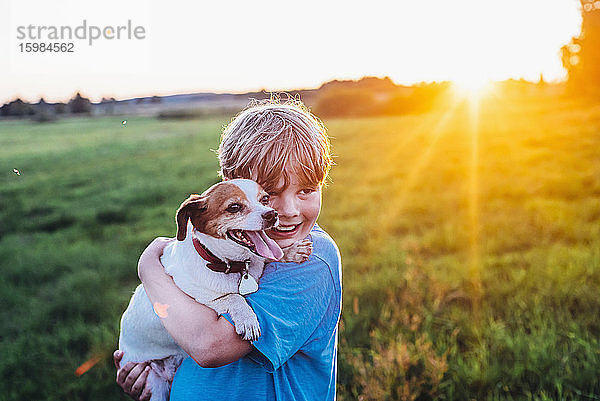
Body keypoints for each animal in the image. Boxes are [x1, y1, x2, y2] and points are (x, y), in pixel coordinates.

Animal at [118, 179, 314, 400]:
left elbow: (269, 255)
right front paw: (247, 319)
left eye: (265, 199)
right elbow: (233, 297)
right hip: (155, 385)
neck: (231, 264)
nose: (272, 214)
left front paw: (291, 251)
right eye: (234, 207)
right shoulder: (198, 298)